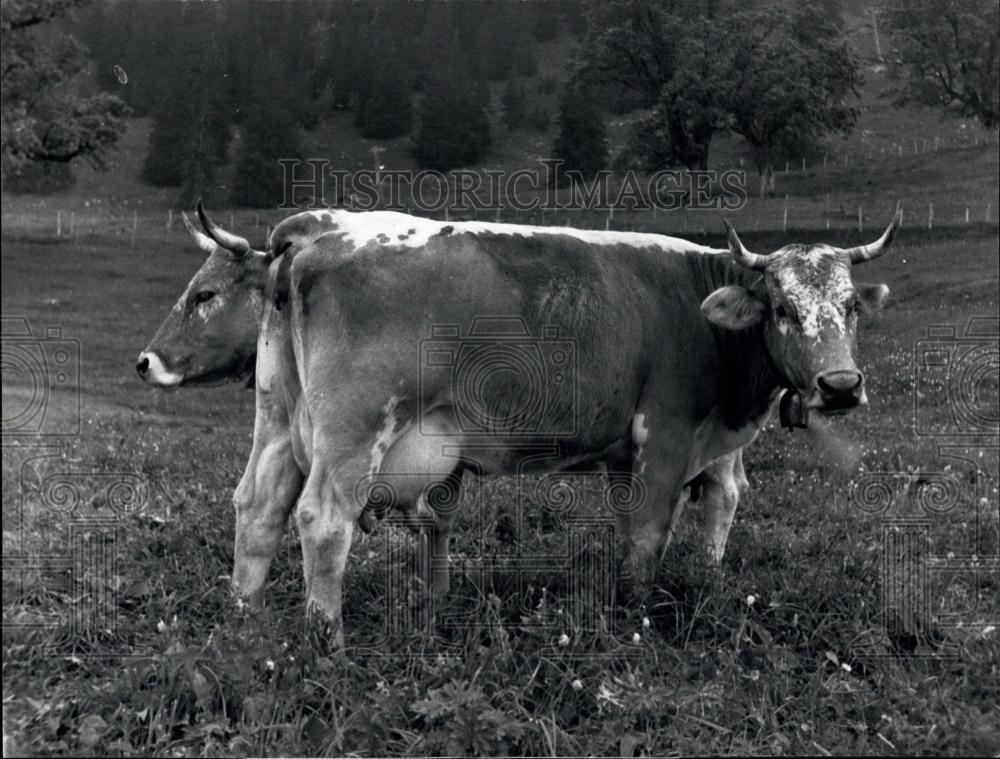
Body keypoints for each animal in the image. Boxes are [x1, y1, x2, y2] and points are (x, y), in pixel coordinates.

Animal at [137, 203, 896, 640]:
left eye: (850, 306)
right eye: (783, 309)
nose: (840, 385)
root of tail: (313, 240)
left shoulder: (664, 450)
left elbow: (691, 512)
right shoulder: (666, 436)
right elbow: (649, 534)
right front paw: (637, 616)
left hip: (278, 424)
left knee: (259, 508)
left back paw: (245, 623)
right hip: (353, 432)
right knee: (322, 520)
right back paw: (327, 643)